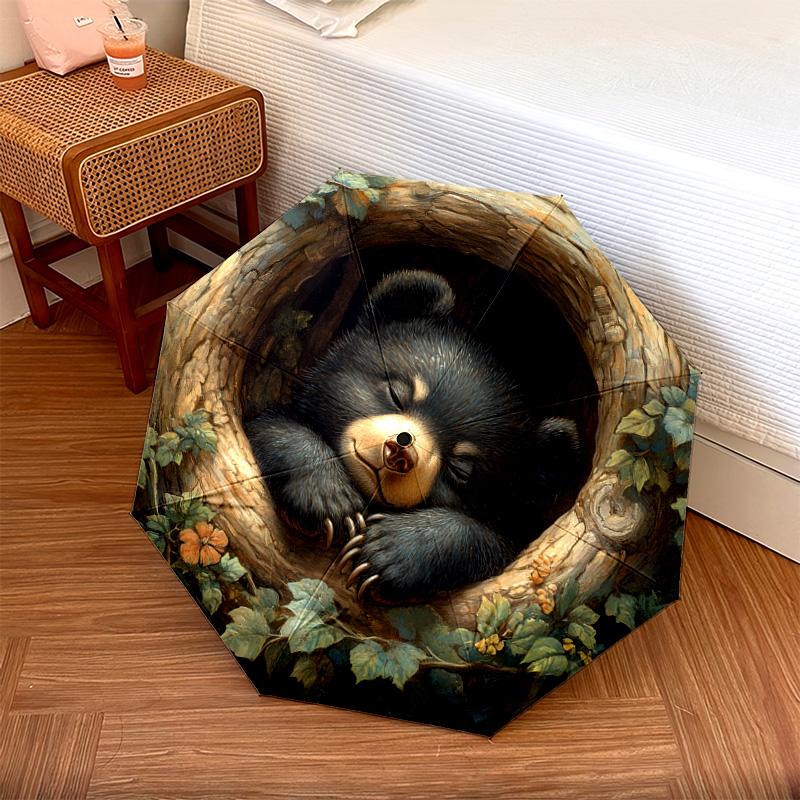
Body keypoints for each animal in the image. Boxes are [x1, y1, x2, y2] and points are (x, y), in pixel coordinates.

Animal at [245, 270, 582, 604]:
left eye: (460, 468)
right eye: (397, 394)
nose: (398, 452)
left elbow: (492, 542)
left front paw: (387, 552)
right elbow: (271, 429)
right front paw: (330, 500)